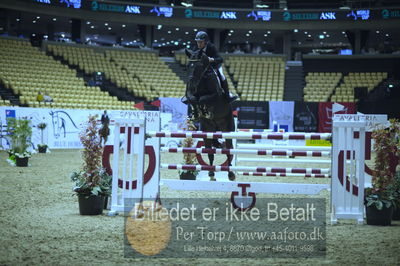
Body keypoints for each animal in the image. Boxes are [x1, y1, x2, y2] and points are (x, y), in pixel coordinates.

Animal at [184, 48, 236, 181]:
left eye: (198, 66)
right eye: (188, 66)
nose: (191, 85)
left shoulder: (215, 96)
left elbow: (203, 99)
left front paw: (204, 110)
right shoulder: (191, 95)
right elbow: (193, 99)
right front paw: (197, 112)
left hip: (228, 129)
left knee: (228, 150)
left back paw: (231, 174)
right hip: (207, 131)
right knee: (210, 151)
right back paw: (211, 173)